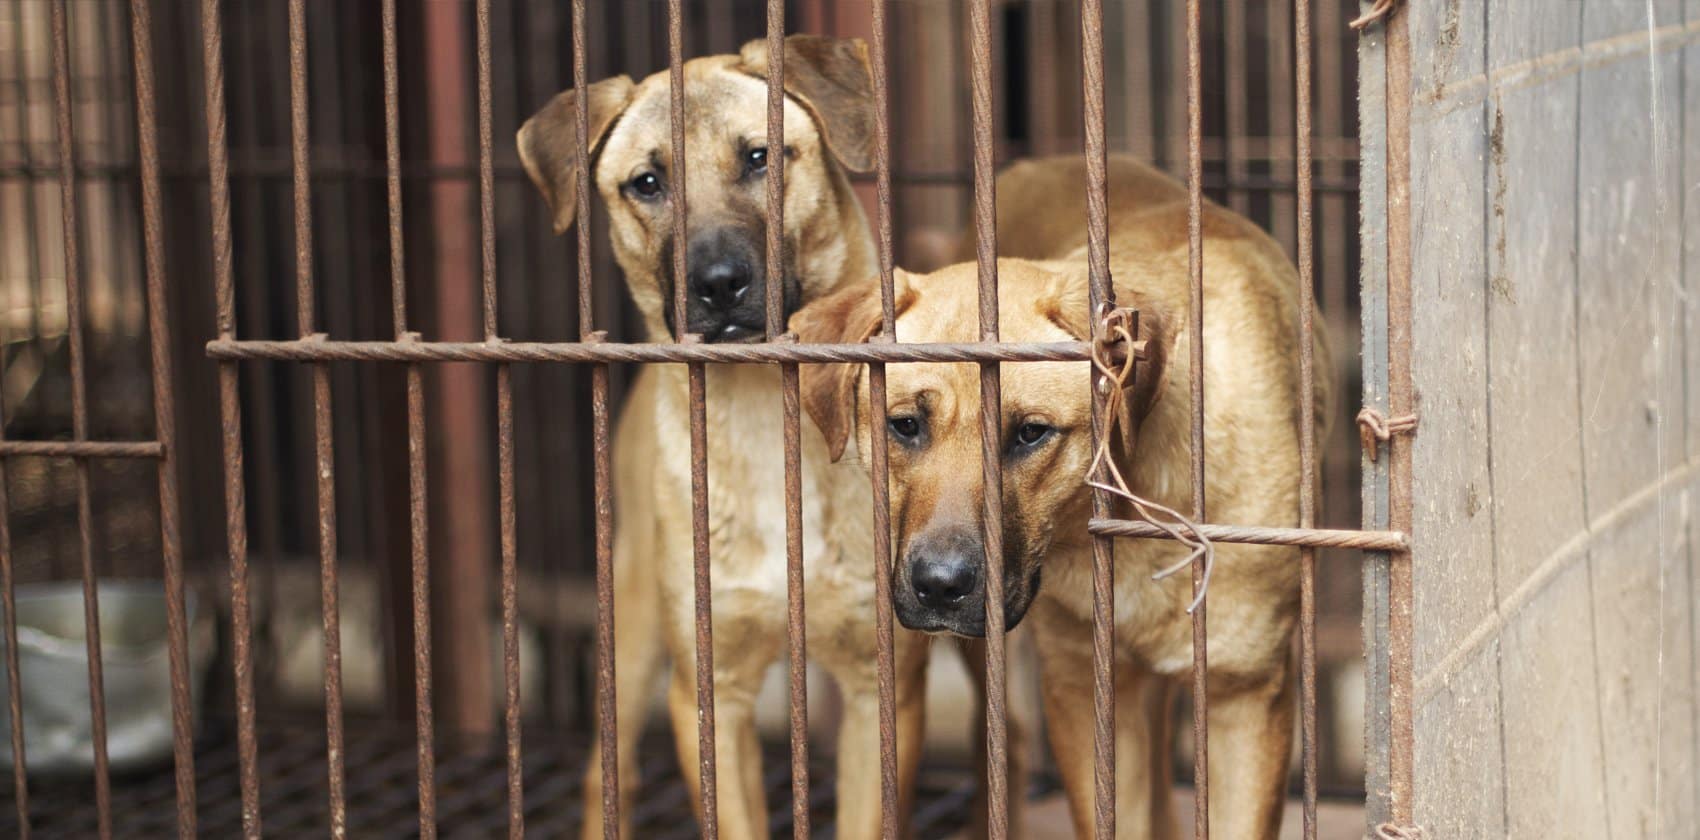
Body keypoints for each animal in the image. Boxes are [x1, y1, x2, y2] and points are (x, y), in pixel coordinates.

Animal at [516, 34, 945, 840]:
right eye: (647, 182)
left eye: (759, 157)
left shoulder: (882, 693)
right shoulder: (709, 696)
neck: (762, 414)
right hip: (632, 629)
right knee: (604, 778)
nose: (717, 283)